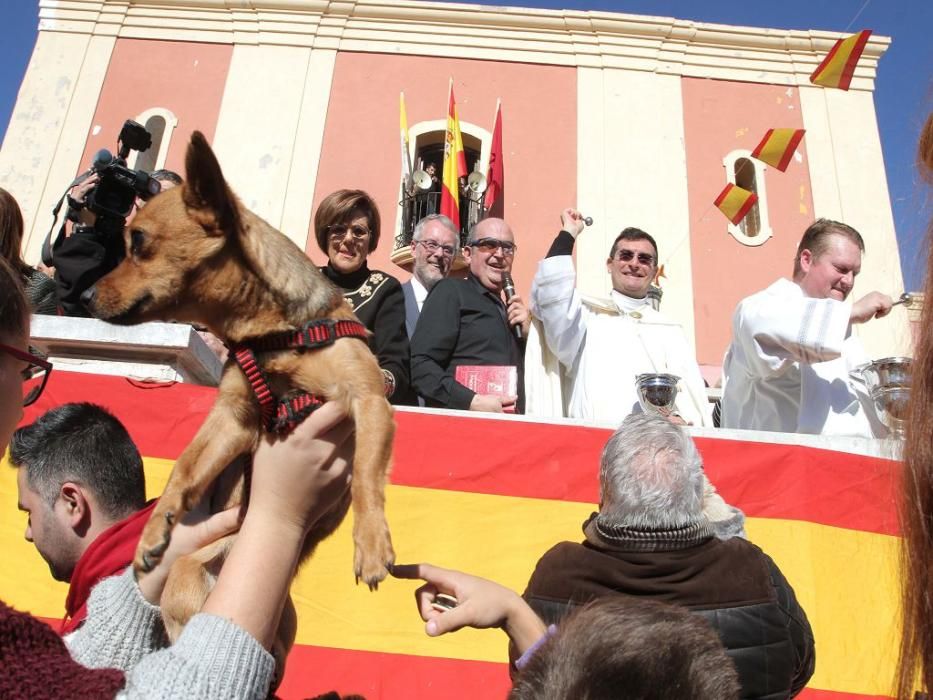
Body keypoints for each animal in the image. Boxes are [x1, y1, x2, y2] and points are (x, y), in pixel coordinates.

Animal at [82, 134, 396, 668]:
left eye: (138, 242)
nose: (83, 297)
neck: (271, 336)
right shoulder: (234, 419)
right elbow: (185, 466)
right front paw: (153, 531)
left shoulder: (368, 398)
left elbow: (366, 478)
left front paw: (371, 543)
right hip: (187, 587)